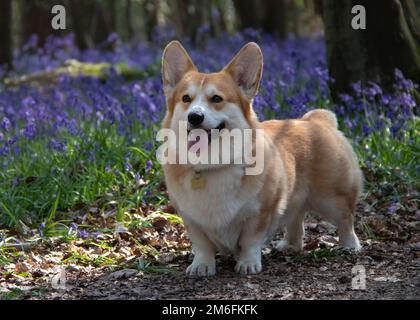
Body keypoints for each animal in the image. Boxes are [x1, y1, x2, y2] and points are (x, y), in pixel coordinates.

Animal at [160, 40, 360, 276]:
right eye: (186, 99)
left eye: (216, 99)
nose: (194, 116)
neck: (211, 164)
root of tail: (317, 119)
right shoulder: (191, 218)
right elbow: (202, 245)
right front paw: (202, 265)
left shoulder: (260, 213)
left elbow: (250, 241)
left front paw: (248, 263)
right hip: (296, 198)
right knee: (296, 219)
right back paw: (289, 245)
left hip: (332, 198)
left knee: (346, 219)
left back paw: (350, 246)